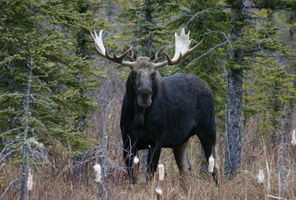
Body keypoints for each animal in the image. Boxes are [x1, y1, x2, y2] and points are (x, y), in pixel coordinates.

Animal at [91, 28, 221, 184]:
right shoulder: (127, 143)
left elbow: (149, 175)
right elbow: (133, 177)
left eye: (153, 74)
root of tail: (208, 87)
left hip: (208, 130)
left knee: (215, 163)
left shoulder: (156, 141)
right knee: (185, 168)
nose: (145, 94)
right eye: (133, 73)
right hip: (181, 140)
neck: (139, 118)